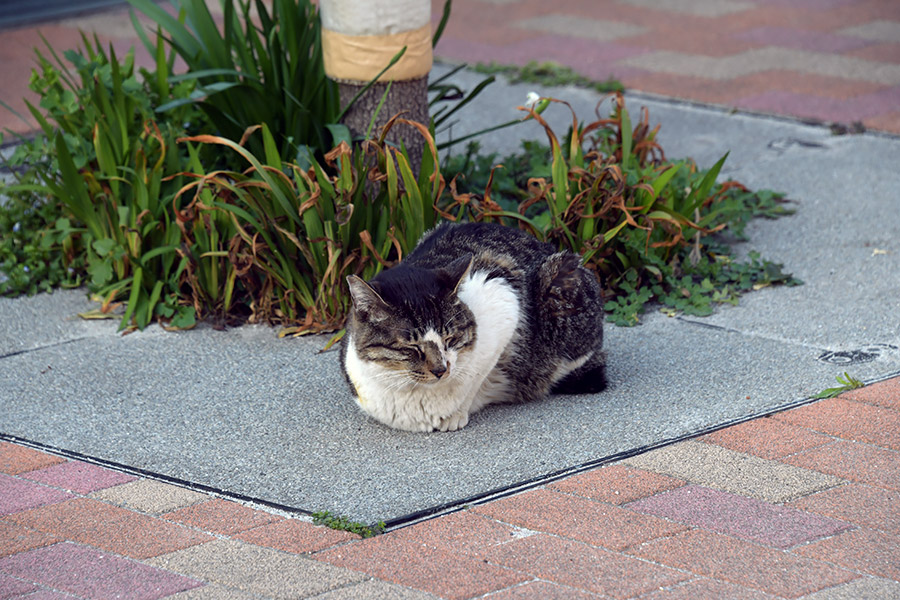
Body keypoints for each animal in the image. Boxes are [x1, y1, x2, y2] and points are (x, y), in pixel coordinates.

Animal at [342, 220, 608, 432]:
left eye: (450, 339)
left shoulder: (502, 297)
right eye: (411, 348)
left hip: (557, 280)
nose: (441, 370)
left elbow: (476, 378)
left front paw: (457, 413)